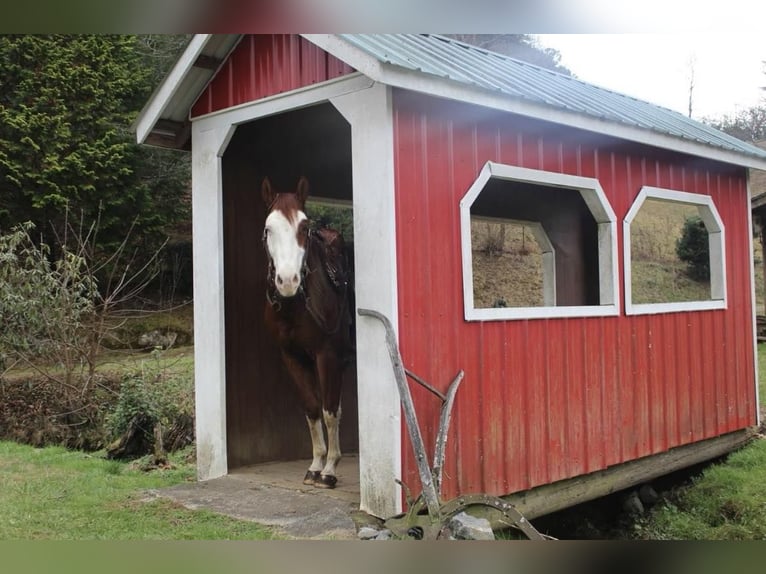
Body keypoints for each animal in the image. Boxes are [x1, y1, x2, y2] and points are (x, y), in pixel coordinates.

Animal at [260, 177, 356, 490]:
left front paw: (330, 470)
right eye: (268, 229)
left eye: (304, 227)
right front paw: (315, 465)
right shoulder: (292, 356)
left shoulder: (328, 356)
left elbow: (329, 411)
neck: (297, 304)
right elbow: (313, 408)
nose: (288, 281)